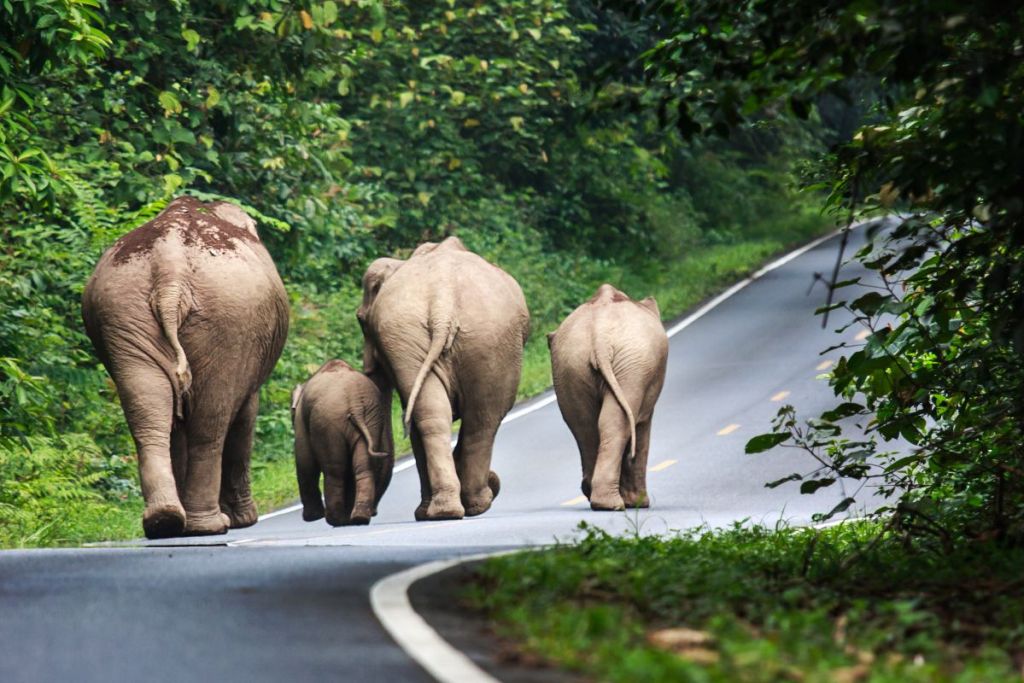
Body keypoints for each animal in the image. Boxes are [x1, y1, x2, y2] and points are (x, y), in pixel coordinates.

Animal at [82, 196, 289, 539]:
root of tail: (171, 268)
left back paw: (164, 521)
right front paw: (244, 520)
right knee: (211, 423)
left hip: (121, 312)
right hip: (229, 323)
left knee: (148, 411)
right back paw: (209, 526)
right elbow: (245, 415)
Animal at [291, 359, 394, 526]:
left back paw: (336, 520)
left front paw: (312, 518)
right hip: (372, 418)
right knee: (363, 466)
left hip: (329, 422)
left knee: (335, 469)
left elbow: (305, 463)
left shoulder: (301, 419)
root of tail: (355, 401)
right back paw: (358, 518)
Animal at [357, 236, 530, 521]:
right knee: (477, 417)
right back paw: (467, 505)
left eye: (360, 321)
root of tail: (442, 303)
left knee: (456, 416)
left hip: (476, 336)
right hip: (461, 337)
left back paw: (449, 509)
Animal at [548, 284, 668, 511]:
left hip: (571, 365)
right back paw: (614, 504)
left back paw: (596, 496)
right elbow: (642, 427)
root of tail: (600, 337)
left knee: (585, 425)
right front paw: (640, 503)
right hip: (632, 367)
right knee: (617, 424)